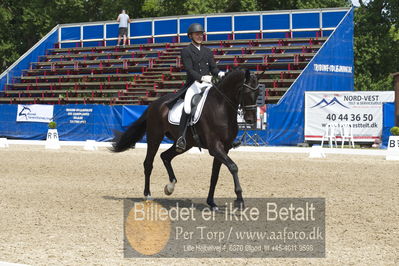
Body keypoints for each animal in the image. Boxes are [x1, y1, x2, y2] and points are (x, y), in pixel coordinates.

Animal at [112, 67, 260, 209]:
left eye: (258, 93)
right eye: (246, 92)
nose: (251, 120)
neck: (221, 107)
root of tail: (154, 104)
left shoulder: (225, 148)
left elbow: (214, 175)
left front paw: (211, 202)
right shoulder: (215, 147)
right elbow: (233, 167)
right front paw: (239, 200)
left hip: (185, 144)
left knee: (165, 156)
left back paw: (170, 187)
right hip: (155, 136)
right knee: (148, 163)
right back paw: (148, 195)